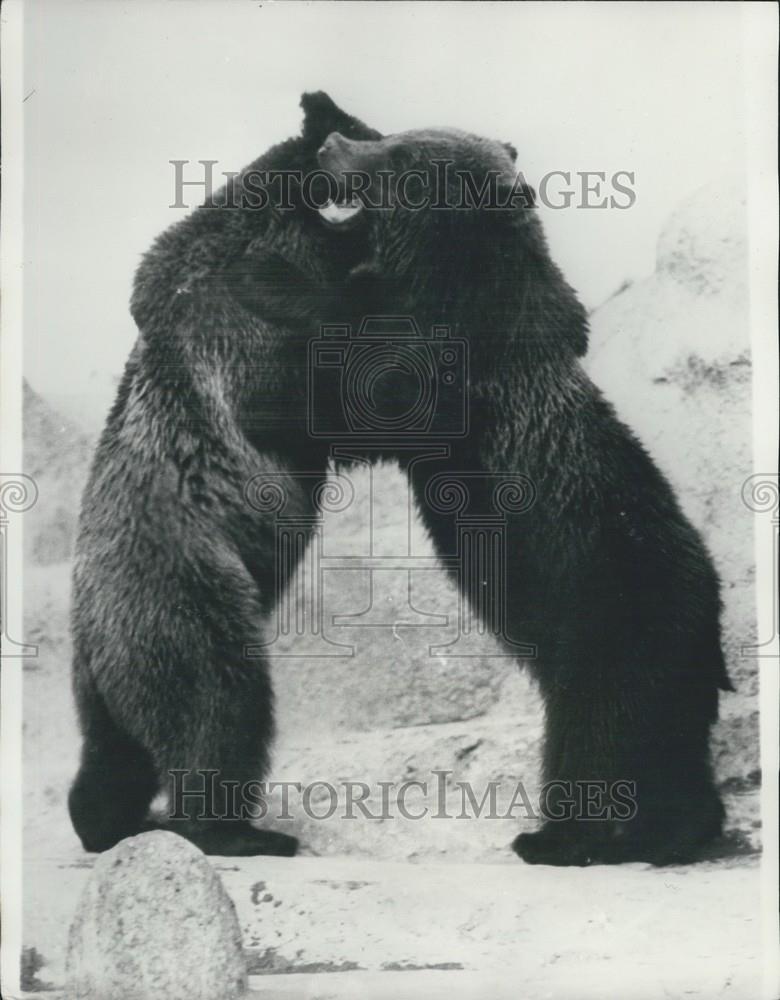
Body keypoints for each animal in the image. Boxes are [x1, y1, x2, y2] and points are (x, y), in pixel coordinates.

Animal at [68, 94, 382, 856]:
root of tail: (91, 636)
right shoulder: (243, 331)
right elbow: (317, 399)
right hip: (188, 600)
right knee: (220, 704)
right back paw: (240, 830)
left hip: (106, 679)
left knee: (114, 755)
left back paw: (109, 818)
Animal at [316, 123, 732, 860]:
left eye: (398, 154)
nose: (332, 141)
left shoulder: (447, 373)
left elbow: (368, 400)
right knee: (668, 758)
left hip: (609, 634)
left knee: (592, 742)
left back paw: (555, 838)